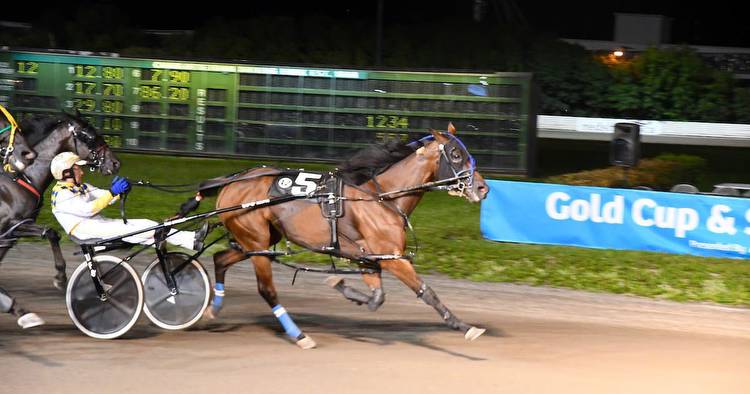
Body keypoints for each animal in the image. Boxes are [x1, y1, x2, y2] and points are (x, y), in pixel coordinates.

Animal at [0, 111, 119, 326]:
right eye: (90, 137)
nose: (115, 163)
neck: (21, 178)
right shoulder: (10, 225)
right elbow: (51, 232)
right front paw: (60, 278)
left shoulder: (12, 232)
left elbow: (50, 233)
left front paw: (20, 311)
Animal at [203, 124, 490, 350]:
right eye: (455, 154)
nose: (482, 188)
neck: (382, 197)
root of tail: (233, 181)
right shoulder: (392, 258)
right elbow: (426, 292)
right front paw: (465, 326)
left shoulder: (370, 258)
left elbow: (377, 298)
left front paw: (343, 287)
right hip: (256, 243)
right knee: (267, 290)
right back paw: (299, 335)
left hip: (255, 242)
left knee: (220, 259)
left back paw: (212, 310)